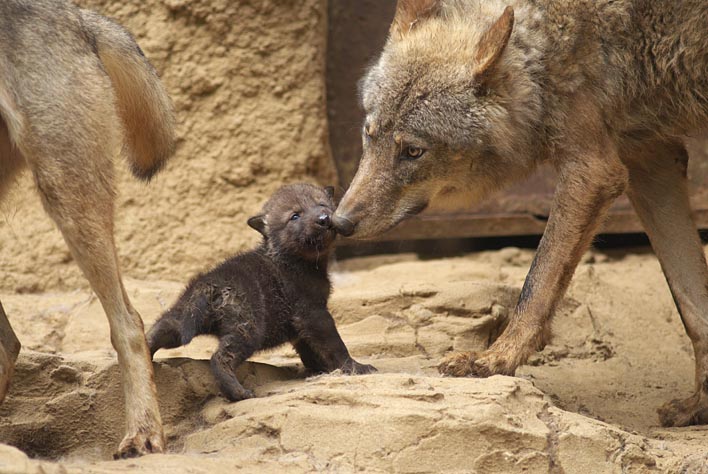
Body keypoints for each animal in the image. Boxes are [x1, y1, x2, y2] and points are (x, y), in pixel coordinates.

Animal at [146, 181, 374, 400]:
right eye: (295, 215)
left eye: (322, 204)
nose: (324, 219)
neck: (295, 260)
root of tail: (209, 284)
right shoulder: (313, 312)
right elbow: (334, 344)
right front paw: (356, 367)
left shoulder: (300, 325)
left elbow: (310, 350)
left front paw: (320, 369)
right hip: (248, 328)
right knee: (219, 358)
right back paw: (239, 393)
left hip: (183, 318)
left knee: (161, 327)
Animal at [334, 0, 708, 428]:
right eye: (369, 135)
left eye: (413, 152)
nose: (339, 222)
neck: (545, 43)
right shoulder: (650, 160)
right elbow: (694, 305)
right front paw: (700, 406)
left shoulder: (594, 171)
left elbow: (537, 280)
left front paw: (496, 359)